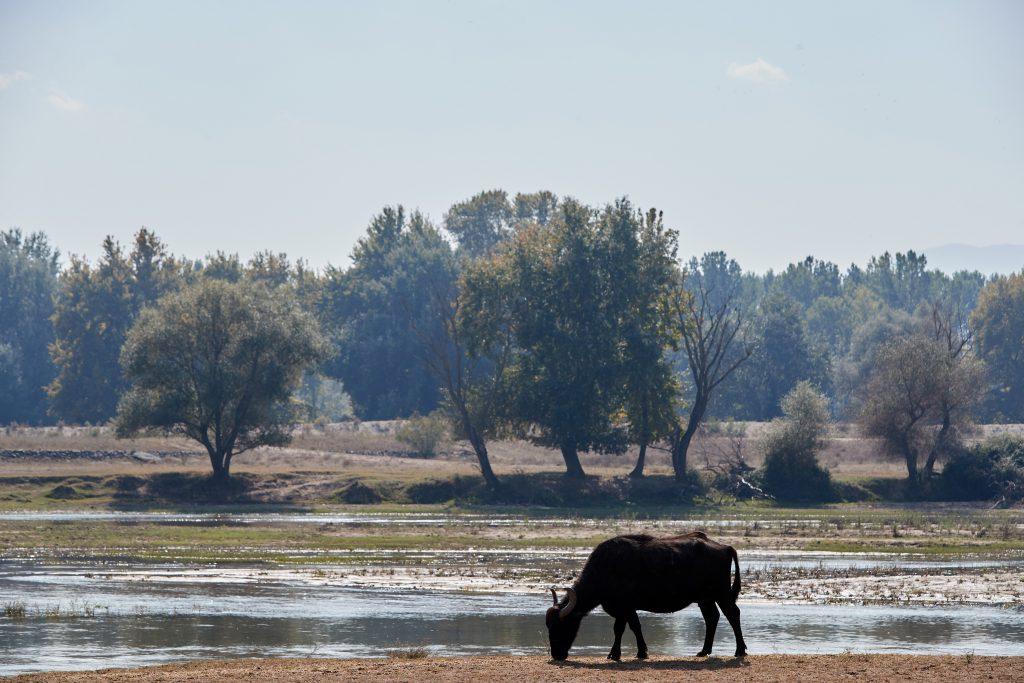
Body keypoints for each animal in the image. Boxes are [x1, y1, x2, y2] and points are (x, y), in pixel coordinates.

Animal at [544, 532, 745, 663]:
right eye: (548, 626)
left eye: (561, 625)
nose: (557, 655)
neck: (606, 568)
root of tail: (725, 547)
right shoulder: (625, 609)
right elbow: (629, 628)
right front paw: (630, 652)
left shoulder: (624, 607)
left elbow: (624, 628)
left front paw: (623, 654)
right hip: (705, 599)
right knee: (712, 618)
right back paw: (704, 651)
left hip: (721, 594)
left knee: (733, 614)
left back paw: (740, 650)